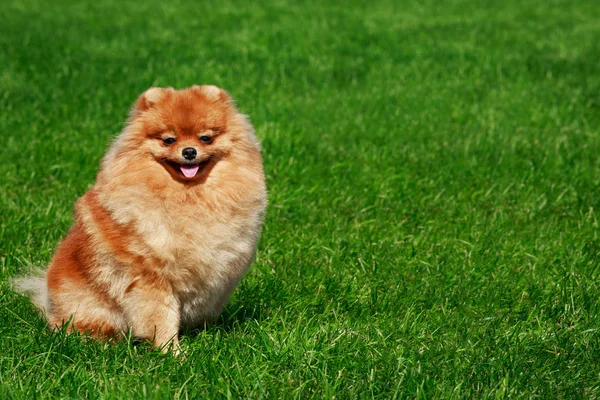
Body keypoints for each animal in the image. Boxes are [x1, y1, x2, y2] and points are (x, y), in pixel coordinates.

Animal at [13, 86, 268, 352]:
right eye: (169, 140)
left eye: (205, 138)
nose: (189, 151)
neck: (188, 196)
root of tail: (47, 297)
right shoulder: (150, 276)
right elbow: (161, 317)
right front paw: (172, 352)